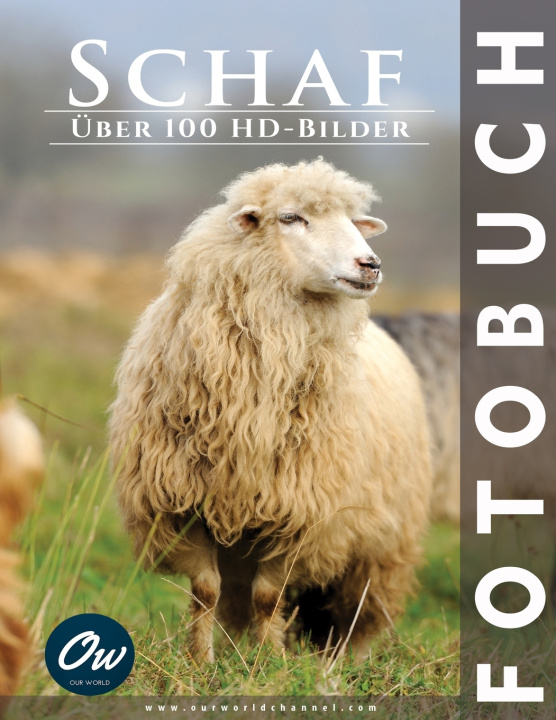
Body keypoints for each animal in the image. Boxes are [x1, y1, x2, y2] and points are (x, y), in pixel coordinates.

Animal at [109, 158, 432, 662]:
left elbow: (269, 596)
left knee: (362, 609)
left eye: (353, 220)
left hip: (383, 541)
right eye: (290, 218)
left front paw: (269, 664)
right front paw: (201, 662)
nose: (371, 264)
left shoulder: (303, 513)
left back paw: (346, 662)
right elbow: (206, 590)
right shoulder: (181, 505)